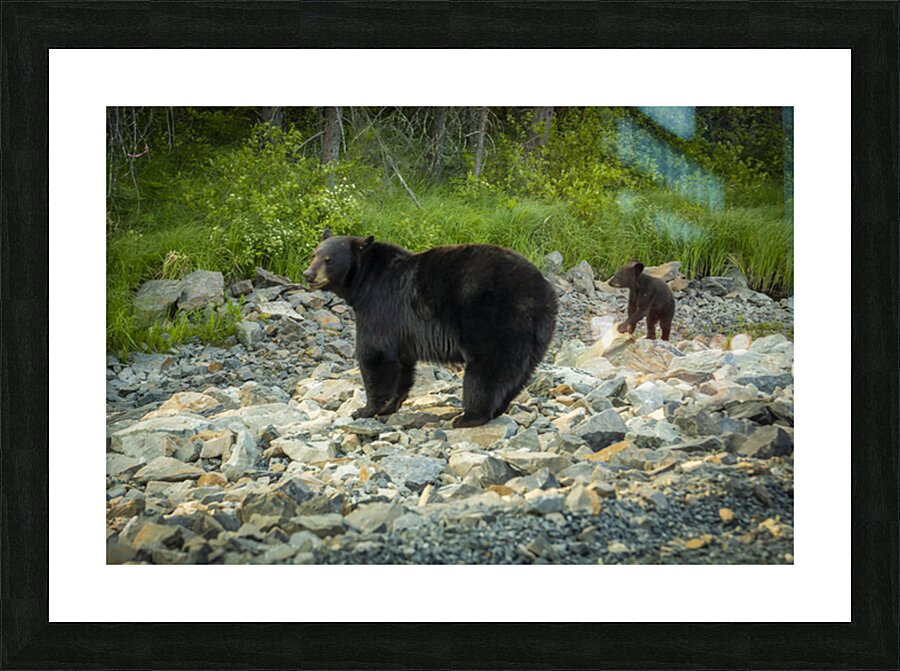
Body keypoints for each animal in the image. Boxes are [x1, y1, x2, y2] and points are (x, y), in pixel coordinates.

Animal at [302, 230, 558, 428]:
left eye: (329, 260)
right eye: (314, 254)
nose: (308, 274)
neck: (365, 281)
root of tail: (541, 291)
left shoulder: (380, 308)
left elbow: (375, 355)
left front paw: (365, 409)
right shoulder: (401, 329)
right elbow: (402, 365)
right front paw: (391, 405)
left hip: (494, 318)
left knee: (487, 368)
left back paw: (469, 417)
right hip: (538, 333)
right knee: (519, 373)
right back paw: (497, 409)